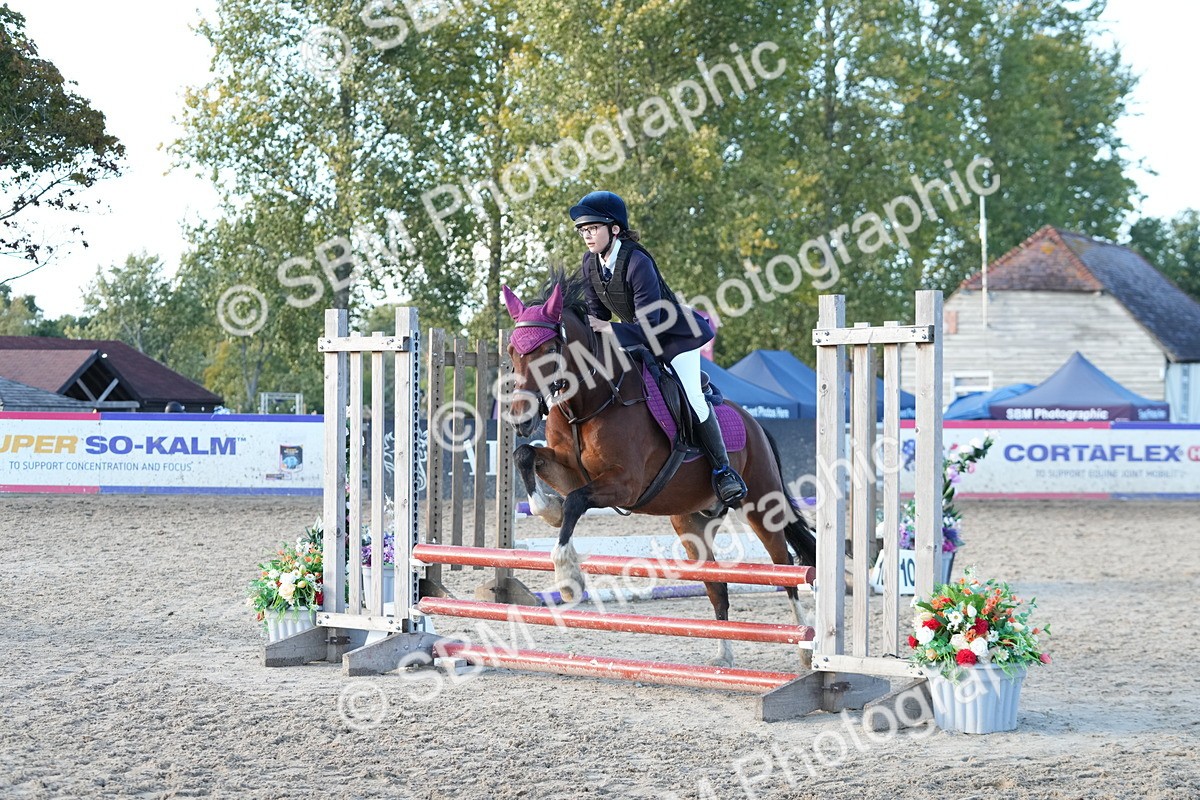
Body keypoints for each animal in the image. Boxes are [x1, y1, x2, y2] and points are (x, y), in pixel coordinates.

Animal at [501, 273, 817, 668]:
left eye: (547, 351)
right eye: (512, 352)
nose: (521, 419)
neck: (589, 401)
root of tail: (753, 422)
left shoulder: (625, 485)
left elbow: (575, 501)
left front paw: (568, 577)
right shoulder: (569, 469)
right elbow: (525, 456)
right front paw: (549, 510)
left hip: (762, 505)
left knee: (785, 568)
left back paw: (804, 649)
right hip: (692, 522)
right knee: (717, 583)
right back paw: (723, 655)